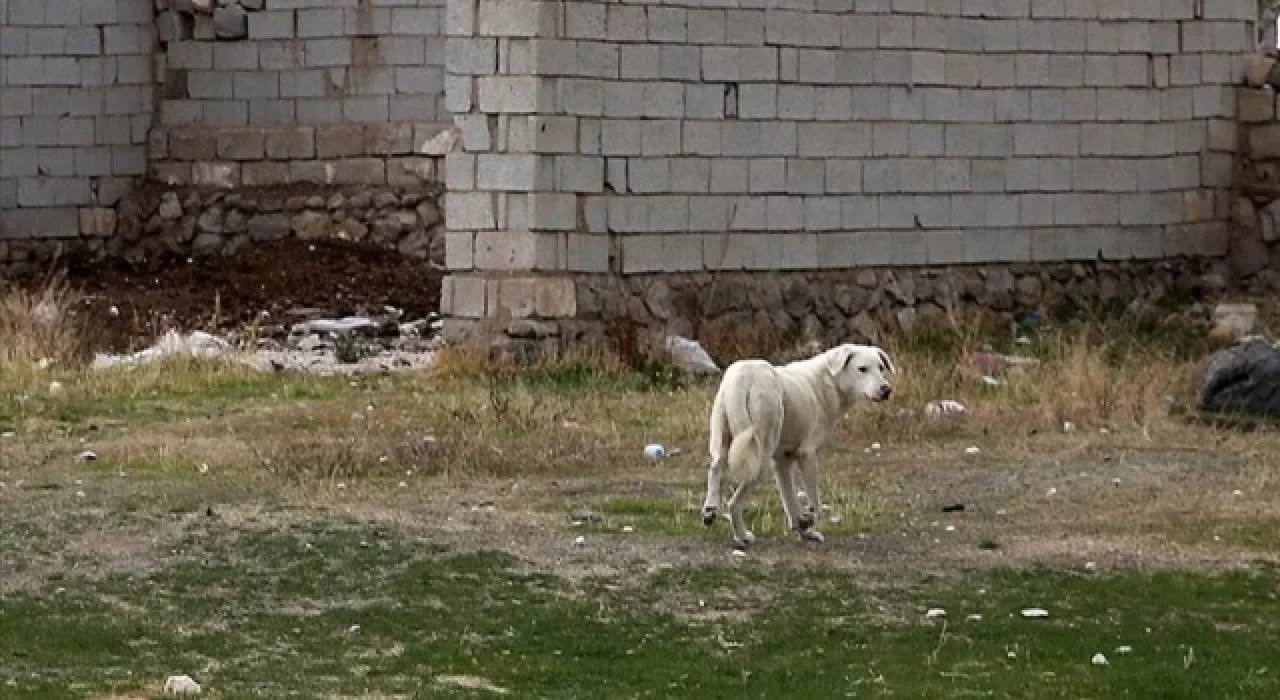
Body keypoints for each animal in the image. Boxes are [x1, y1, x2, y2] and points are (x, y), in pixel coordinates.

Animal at [696, 342, 896, 547]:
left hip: (722, 442)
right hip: (760, 457)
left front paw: (805, 531)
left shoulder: (782, 462)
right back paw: (742, 537)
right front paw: (807, 521)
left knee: (715, 468)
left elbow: (790, 502)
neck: (829, 381)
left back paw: (710, 510)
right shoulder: (807, 455)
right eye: (862, 369)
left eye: (881, 368)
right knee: (734, 503)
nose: (886, 390)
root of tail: (744, 374)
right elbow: (815, 503)